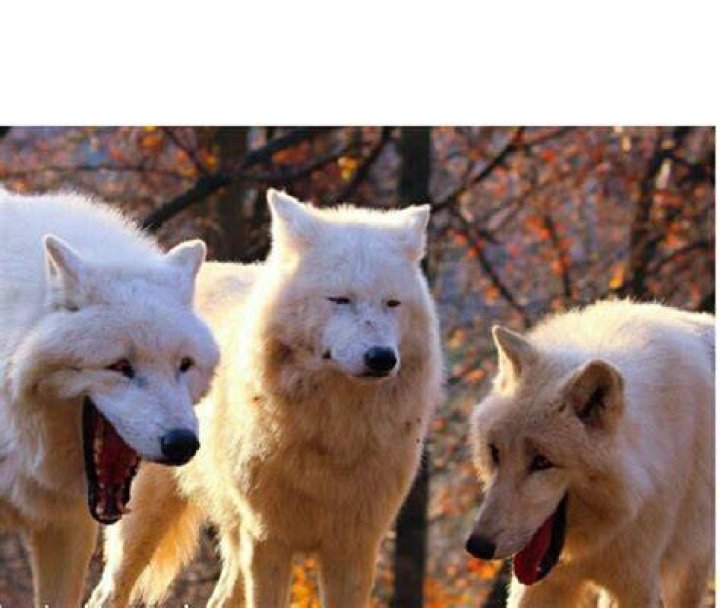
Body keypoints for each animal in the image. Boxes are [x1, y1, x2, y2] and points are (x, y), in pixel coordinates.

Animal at [88, 189, 444, 608]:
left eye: (392, 303)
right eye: (340, 299)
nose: (382, 358)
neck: (333, 433)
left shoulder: (355, 547)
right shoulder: (268, 539)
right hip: (146, 519)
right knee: (107, 593)